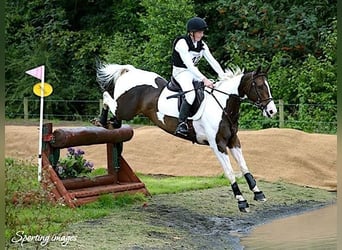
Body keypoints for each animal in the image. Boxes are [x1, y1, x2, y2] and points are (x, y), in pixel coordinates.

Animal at [95, 63, 278, 212]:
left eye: (268, 86)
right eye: (259, 86)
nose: (272, 111)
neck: (223, 106)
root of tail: (130, 72)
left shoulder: (233, 141)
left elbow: (244, 166)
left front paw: (258, 192)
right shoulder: (217, 144)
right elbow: (230, 172)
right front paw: (241, 201)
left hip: (125, 110)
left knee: (113, 111)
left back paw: (112, 123)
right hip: (125, 108)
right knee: (106, 97)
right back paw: (101, 120)